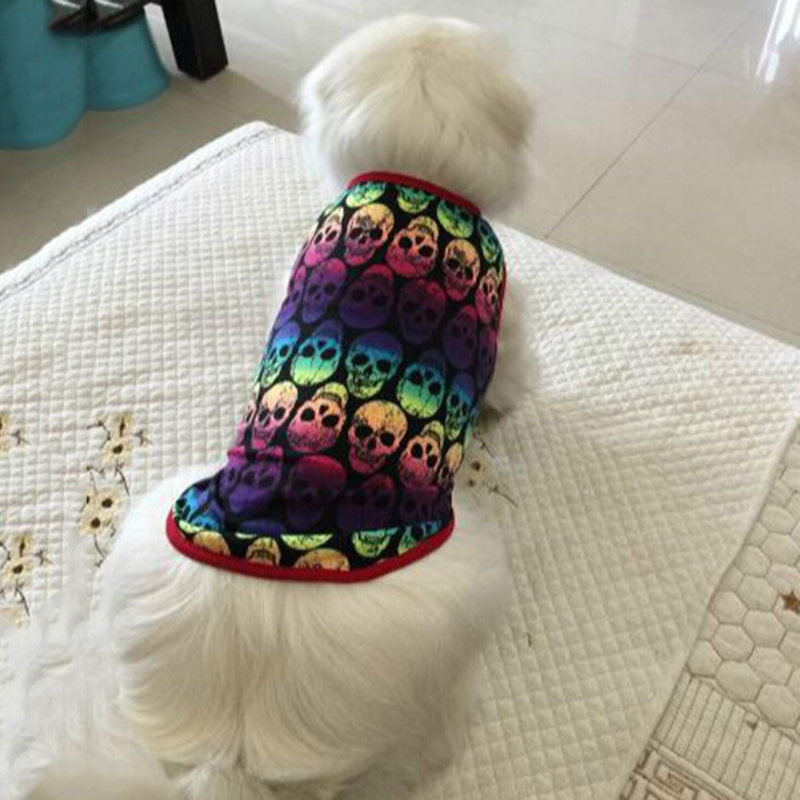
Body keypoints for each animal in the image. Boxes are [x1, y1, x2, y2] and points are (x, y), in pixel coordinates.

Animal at [12, 14, 534, 800]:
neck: (411, 176)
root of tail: (232, 751)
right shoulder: (503, 310)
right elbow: (514, 369)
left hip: (155, 523)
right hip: (463, 564)